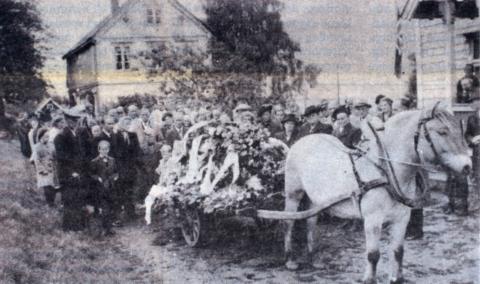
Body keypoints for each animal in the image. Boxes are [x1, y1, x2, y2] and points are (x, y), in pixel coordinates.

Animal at [280, 105, 470, 282]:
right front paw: (369, 279)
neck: (385, 172)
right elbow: (373, 255)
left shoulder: (402, 218)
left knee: (311, 222)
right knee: (289, 221)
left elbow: (398, 251)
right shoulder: (373, 220)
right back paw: (290, 260)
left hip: (316, 199)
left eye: (460, 129)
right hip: (293, 193)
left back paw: (314, 259)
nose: (467, 166)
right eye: (442, 131)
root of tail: (303, 140)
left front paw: (397, 278)